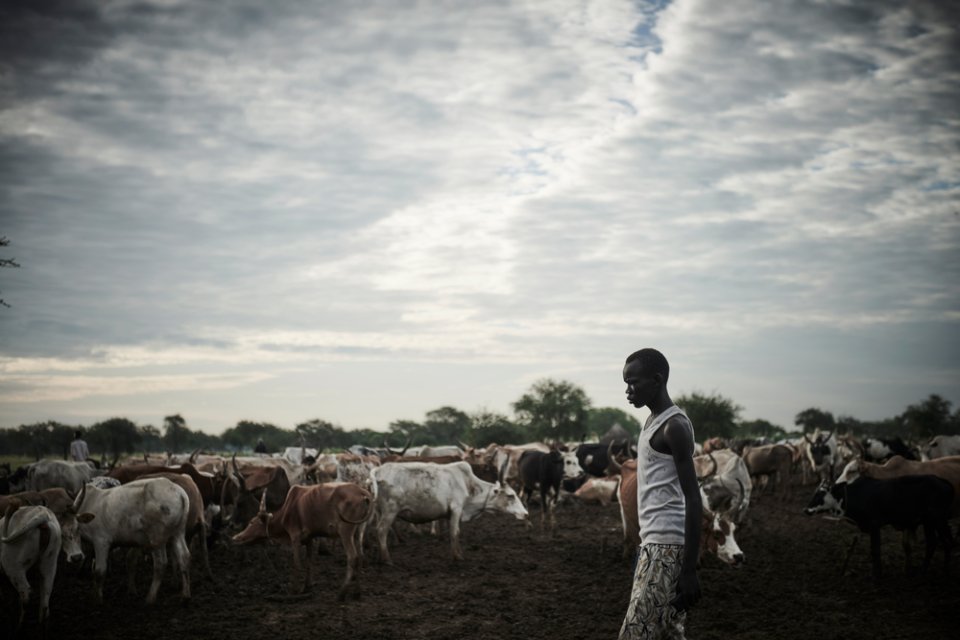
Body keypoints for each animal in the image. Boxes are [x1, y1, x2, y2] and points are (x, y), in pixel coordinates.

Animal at [231, 480, 374, 600]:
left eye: (251, 522)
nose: (235, 537)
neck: (286, 510)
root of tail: (363, 492)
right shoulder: (310, 538)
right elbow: (309, 561)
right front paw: (307, 586)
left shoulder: (295, 536)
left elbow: (296, 563)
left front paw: (293, 590)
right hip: (358, 531)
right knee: (360, 556)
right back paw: (357, 592)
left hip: (345, 531)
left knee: (353, 557)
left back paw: (341, 593)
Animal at [372, 460, 528, 564]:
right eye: (511, 495)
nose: (525, 513)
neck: (468, 484)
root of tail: (379, 470)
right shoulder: (456, 509)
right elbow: (455, 532)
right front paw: (457, 557)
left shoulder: (449, 515)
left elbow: (452, 533)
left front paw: (458, 553)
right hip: (390, 511)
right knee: (381, 530)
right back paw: (387, 559)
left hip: (380, 512)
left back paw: (380, 557)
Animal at [808, 472, 956, 576]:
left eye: (819, 495)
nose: (805, 510)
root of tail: (944, 483)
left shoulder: (874, 525)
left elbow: (875, 549)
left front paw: (877, 573)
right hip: (934, 522)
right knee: (941, 542)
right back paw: (940, 569)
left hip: (935, 520)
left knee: (938, 542)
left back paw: (929, 571)